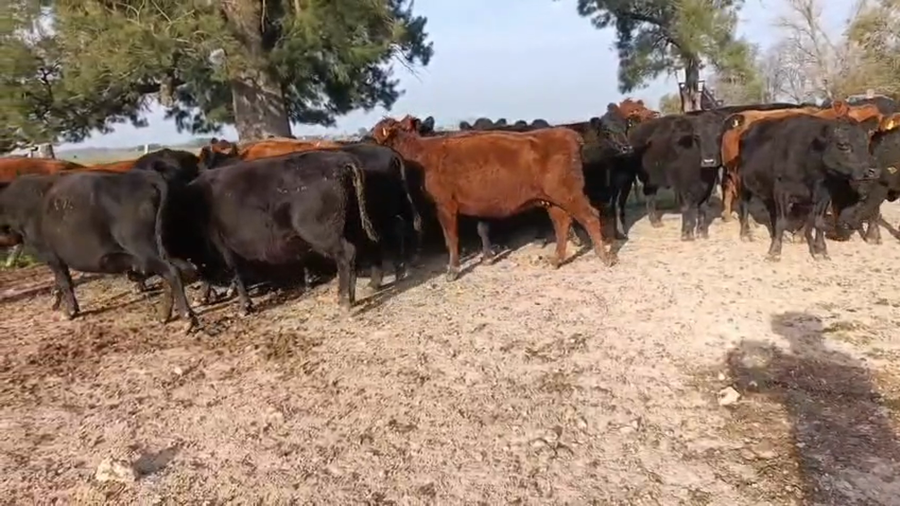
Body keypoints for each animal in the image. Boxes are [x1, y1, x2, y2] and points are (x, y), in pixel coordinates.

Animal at [0, 171, 198, 326]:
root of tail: (145, 178)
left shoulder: (50, 254)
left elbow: (64, 281)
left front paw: (69, 312)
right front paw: (56, 302)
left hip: (143, 247)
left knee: (171, 271)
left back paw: (187, 318)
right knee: (175, 272)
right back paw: (164, 316)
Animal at [167, 150, 380, 315]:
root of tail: (338, 159)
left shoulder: (223, 245)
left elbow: (234, 271)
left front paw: (244, 306)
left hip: (321, 233)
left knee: (346, 254)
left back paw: (343, 301)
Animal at [370, 115, 616, 280]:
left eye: (374, 133)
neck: (423, 154)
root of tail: (567, 133)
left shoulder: (445, 205)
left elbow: (451, 238)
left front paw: (452, 271)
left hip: (569, 193)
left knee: (590, 216)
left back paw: (604, 257)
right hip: (554, 200)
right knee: (562, 223)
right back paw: (556, 260)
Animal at [735, 115, 879, 260]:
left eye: (867, 143)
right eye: (843, 145)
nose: (874, 170)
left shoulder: (824, 195)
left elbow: (818, 222)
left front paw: (820, 250)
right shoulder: (781, 191)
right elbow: (782, 221)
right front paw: (774, 252)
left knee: (771, 212)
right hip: (743, 182)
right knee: (745, 206)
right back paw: (745, 234)